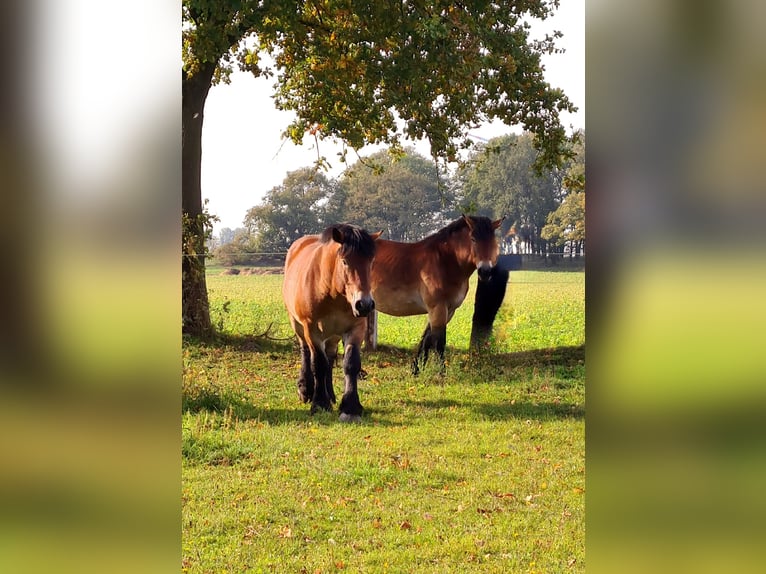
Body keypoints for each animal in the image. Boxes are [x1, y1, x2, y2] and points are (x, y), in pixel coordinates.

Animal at [284, 225, 382, 424]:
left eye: (371, 262)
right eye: (345, 261)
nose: (364, 304)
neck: (332, 292)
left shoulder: (355, 329)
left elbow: (350, 364)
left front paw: (350, 408)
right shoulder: (312, 330)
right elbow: (318, 364)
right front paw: (319, 404)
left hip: (333, 334)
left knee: (329, 357)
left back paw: (330, 394)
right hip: (298, 325)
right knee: (305, 351)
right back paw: (306, 389)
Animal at [370, 215, 508, 374]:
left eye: (492, 241)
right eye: (473, 239)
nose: (485, 272)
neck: (445, 261)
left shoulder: (448, 310)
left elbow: (426, 340)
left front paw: (416, 370)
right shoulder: (437, 308)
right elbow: (439, 342)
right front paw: (441, 373)